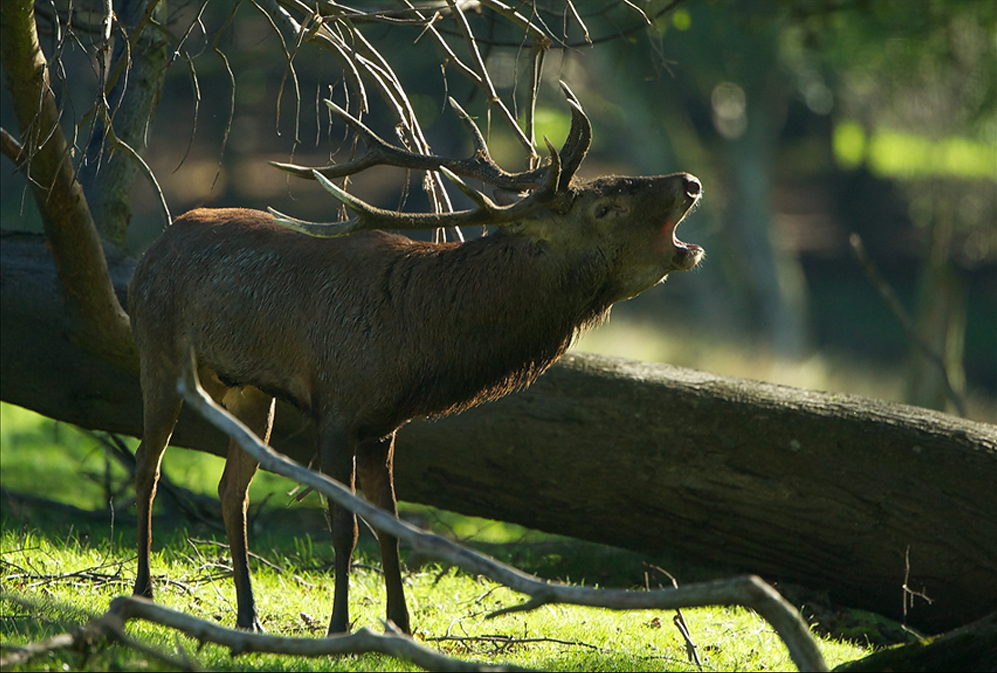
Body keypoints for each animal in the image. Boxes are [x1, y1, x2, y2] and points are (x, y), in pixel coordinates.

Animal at [128, 85, 704, 637]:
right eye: (604, 208)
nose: (690, 182)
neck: (413, 342)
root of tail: (156, 243)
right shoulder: (336, 408)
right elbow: (344, 524)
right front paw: (339, 627)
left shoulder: (382, 427)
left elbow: (391, 524)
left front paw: (401, 626)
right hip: (157, 352)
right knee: (147, 468)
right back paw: (144, 591)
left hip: (250, 392)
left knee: (231, 491)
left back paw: (248, 614)